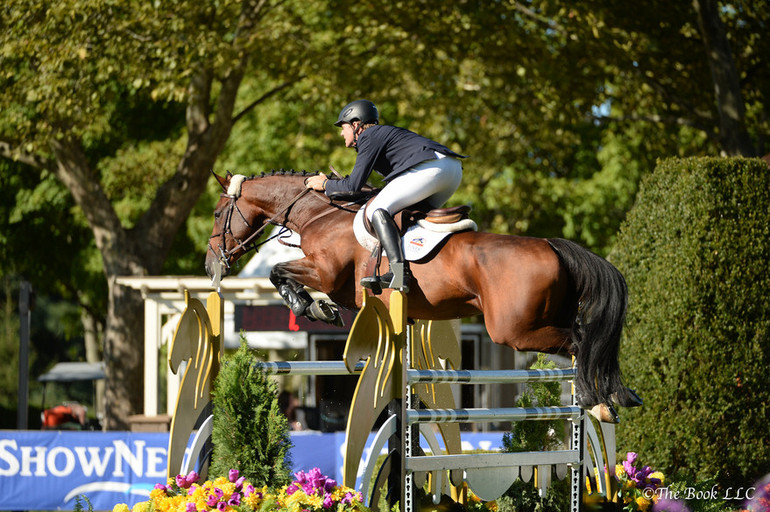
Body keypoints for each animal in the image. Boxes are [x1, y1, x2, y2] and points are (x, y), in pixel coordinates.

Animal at [202, 171, 636, 420]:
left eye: (218, 213)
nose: (209, 266)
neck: (320, 214)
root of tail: (552, 245)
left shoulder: (324, 271)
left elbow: (278, 271)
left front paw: (308, 305)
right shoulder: (348, 291)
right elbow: (293, 279)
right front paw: (319, 308)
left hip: (512, 329)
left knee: (581, 341)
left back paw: (596, 399)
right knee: (586, 341)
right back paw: (614, 396)